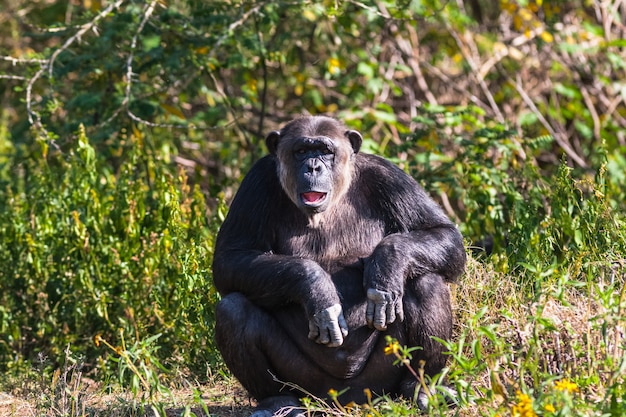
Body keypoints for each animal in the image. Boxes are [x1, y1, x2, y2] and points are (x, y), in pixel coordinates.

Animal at [212, 115, 466, 414]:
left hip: (381, 381)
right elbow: (230, 258)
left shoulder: (390, 177)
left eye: (325, 150)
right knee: (233, 309)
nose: (313, 165)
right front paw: (317, 289)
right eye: (301, 151)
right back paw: (277, 402)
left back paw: (421, 388)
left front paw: (387, 265)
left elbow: (442, 233)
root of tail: (347, 399)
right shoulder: (256, 181)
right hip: (308, 384)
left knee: (425, 282)